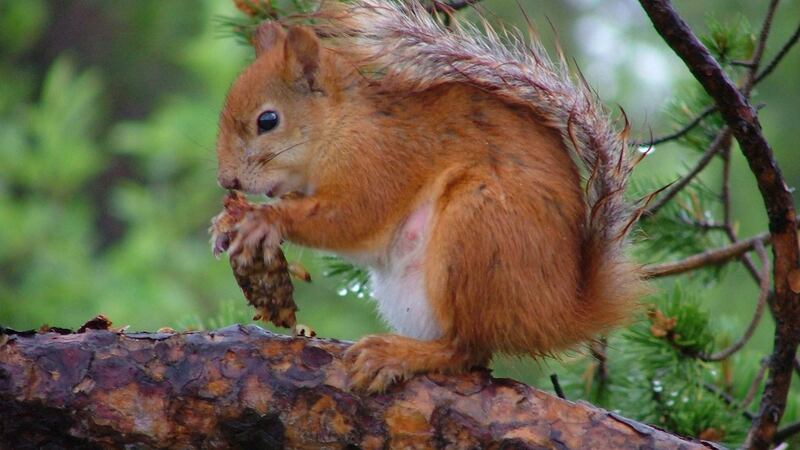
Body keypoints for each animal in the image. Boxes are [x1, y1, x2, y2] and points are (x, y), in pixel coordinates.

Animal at [217, 0, 646, 393]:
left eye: (268, 120)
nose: (226, 180)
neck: (343, 127)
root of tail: (560, 312)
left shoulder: (379, 164)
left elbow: (350, 218)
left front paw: (264, 219)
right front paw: (226, 221)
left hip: (475, 230)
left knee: (467, 347)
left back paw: (399, 354)